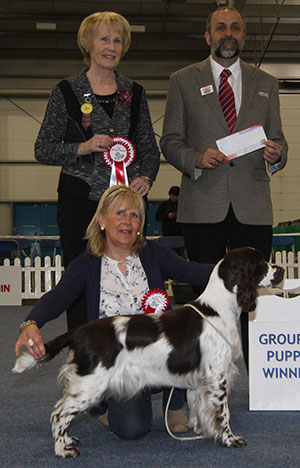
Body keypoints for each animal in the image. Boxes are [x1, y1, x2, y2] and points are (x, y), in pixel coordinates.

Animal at [13, 247, 284, 458]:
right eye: (260, 262)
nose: (281, 269)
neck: (217, 308)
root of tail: (80, 331)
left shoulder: (201, 379)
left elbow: (199, 408)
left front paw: (201, 431)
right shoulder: (218, 376)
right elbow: (223, 413)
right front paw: (230, 439)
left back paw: (68, 440)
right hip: (91, 385)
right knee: (59, 413)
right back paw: (62, 449)